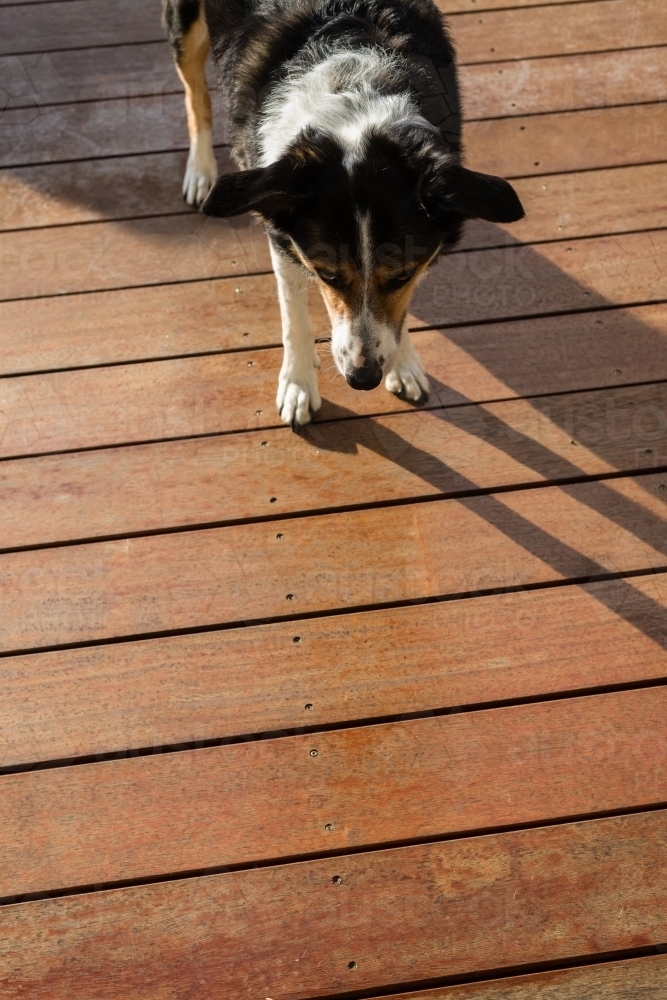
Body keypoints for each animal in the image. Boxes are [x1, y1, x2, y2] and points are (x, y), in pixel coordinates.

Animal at [163, 0, 528, 426]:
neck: (356, 93)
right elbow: (293, 316)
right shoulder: (284, 237)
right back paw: (200, 169)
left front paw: (404, 363)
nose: (362, 380)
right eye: (327, 275)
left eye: (402, 275)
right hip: (186, 27)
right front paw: (298, 384)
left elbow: (401, 312)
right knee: (195, 94)